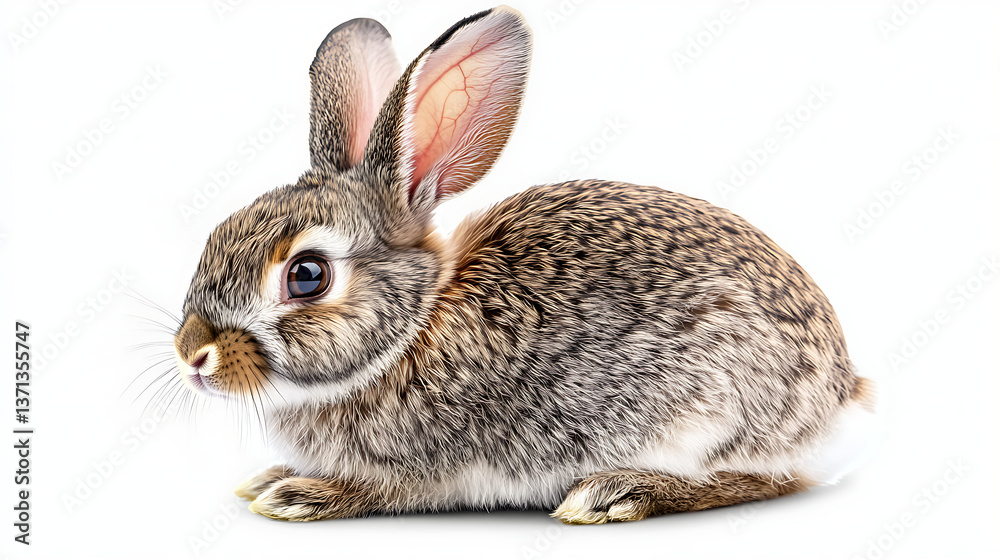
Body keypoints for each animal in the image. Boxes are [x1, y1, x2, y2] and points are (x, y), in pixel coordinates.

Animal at [172, 6, 877, 524]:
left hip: (714, 411)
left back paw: (617, 493)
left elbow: (387, 490)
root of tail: (842, 395)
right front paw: (272, 476)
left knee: (766, 479)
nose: (192, 355)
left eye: (307, 275)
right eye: (218, 233)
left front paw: (298, 494)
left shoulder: (428, 463)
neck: (411, 330)